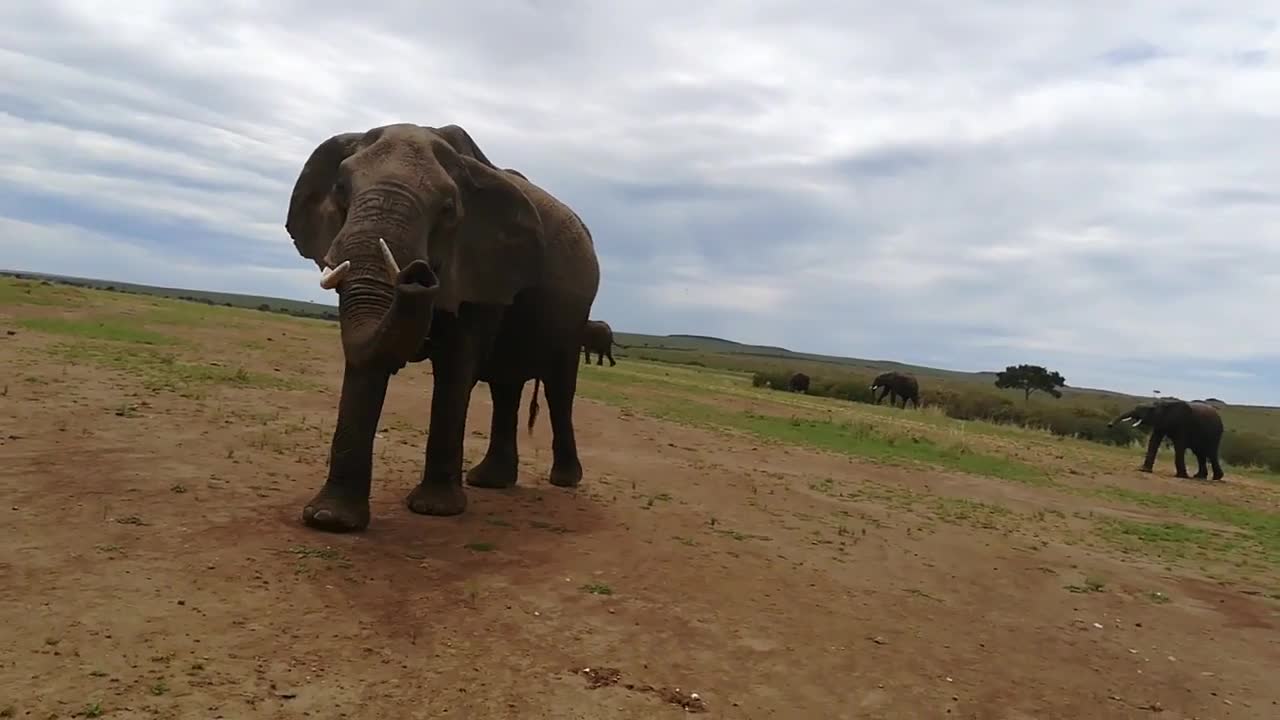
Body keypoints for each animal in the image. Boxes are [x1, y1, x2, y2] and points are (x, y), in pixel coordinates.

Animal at [284, 121, 599, 527]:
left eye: (448, 209)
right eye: (340, 188)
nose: (417, 274)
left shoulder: (479, 265)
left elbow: (455, 365)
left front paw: (435, 509)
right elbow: (366, 358)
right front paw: (329, 519)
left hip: (576, 316)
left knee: (558, 387)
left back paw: (563, 480)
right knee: (505, 387)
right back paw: (490, 481)